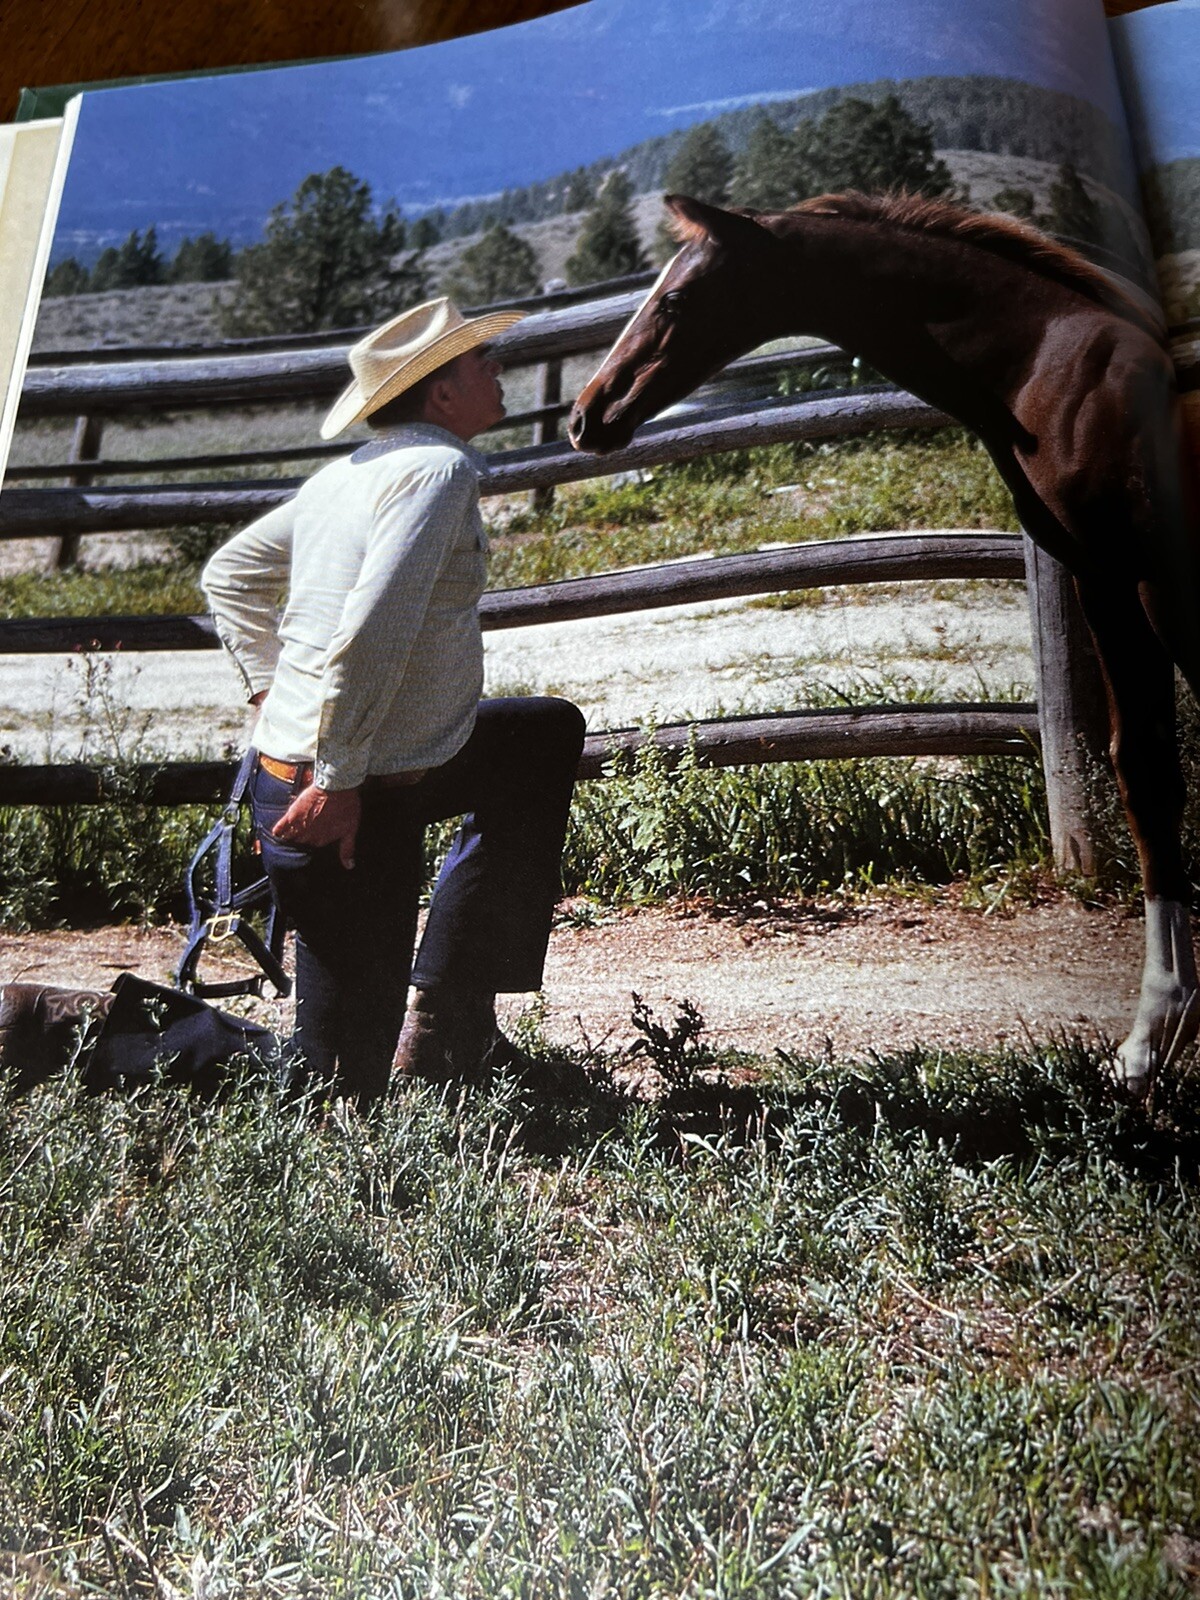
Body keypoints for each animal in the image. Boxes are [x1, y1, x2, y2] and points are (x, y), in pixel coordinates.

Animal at [567, 190, 1200, 1095]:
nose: (587, 414)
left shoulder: (1128, 579)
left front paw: (1153, 1036)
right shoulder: (1116, 583)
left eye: (676, 299)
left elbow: (1146, 772)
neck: (1049, 363)